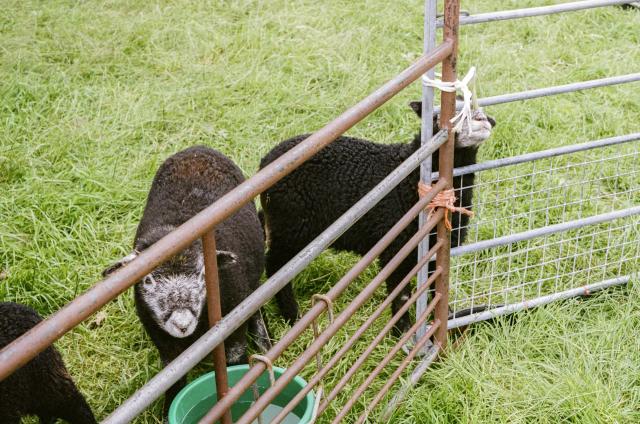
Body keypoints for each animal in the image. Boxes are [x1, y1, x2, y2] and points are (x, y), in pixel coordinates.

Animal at [104, 145, 268, 414]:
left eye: (203, 274)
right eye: (147, 281)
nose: (182, 323)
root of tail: (198, 149)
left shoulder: (233, 328)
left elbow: (235, 362)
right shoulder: (165, 344)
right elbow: (173, 378)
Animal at [260, 101, 496, 332]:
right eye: (439, 115)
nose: (481, 119)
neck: (411, 180)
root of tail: (265, 161)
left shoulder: (436, 247)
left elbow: (437, 284)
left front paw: (447, 319)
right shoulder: (395, 248)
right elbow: (401, 294)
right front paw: (403, 331)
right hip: (291, 228)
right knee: (274, 268)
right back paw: (292, 316)